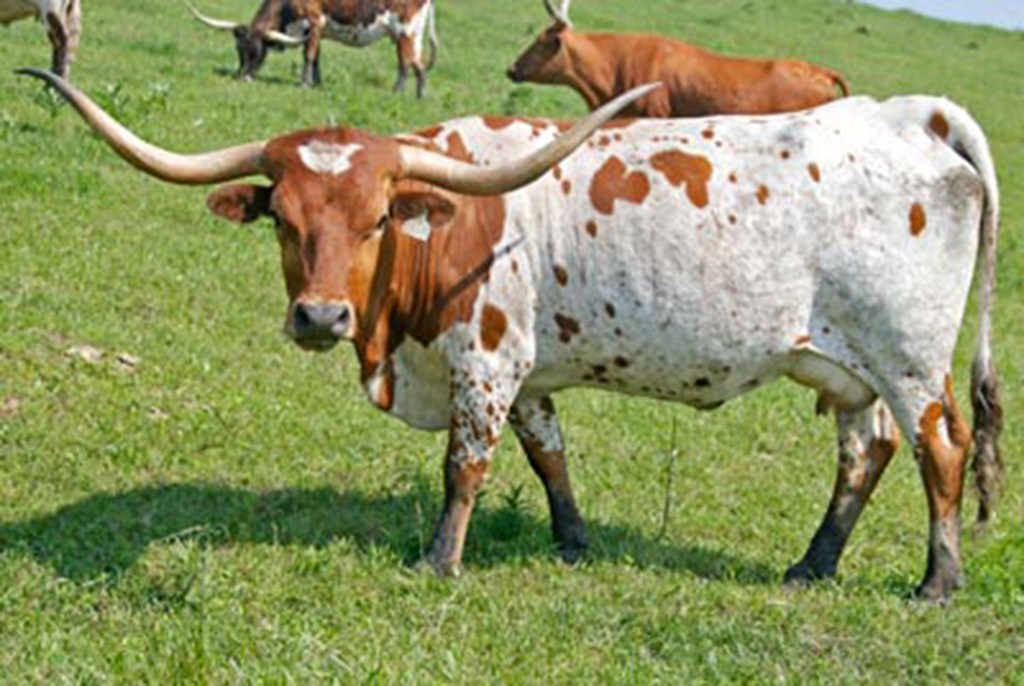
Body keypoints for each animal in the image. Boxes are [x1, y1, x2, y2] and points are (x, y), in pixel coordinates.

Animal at [20, 67, 1002, 604]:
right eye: (285, 222)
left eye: (376, 219)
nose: (321, 317)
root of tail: (913, 113)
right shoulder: (528, 373)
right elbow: (548, 454)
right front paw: (573, 542)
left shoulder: (487, 359)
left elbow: (465, 466)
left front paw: (439, 562)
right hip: (843, 363)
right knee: (864, 453)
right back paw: (812, 565)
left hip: (910, 359)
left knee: (941, 450)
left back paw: (937, 582)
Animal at [185, 0, 438, 97]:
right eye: (239, 51)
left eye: (258, 53)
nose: (242, 78)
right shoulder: (315, 32)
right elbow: (316, 57)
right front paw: (316, 82)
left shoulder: (315, 22)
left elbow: (308, 55)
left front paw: (305, 83)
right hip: (412, 35)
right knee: (419, 65)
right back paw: (420, 96)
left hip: (404, 30)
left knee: (405, 63)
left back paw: (397, 91)